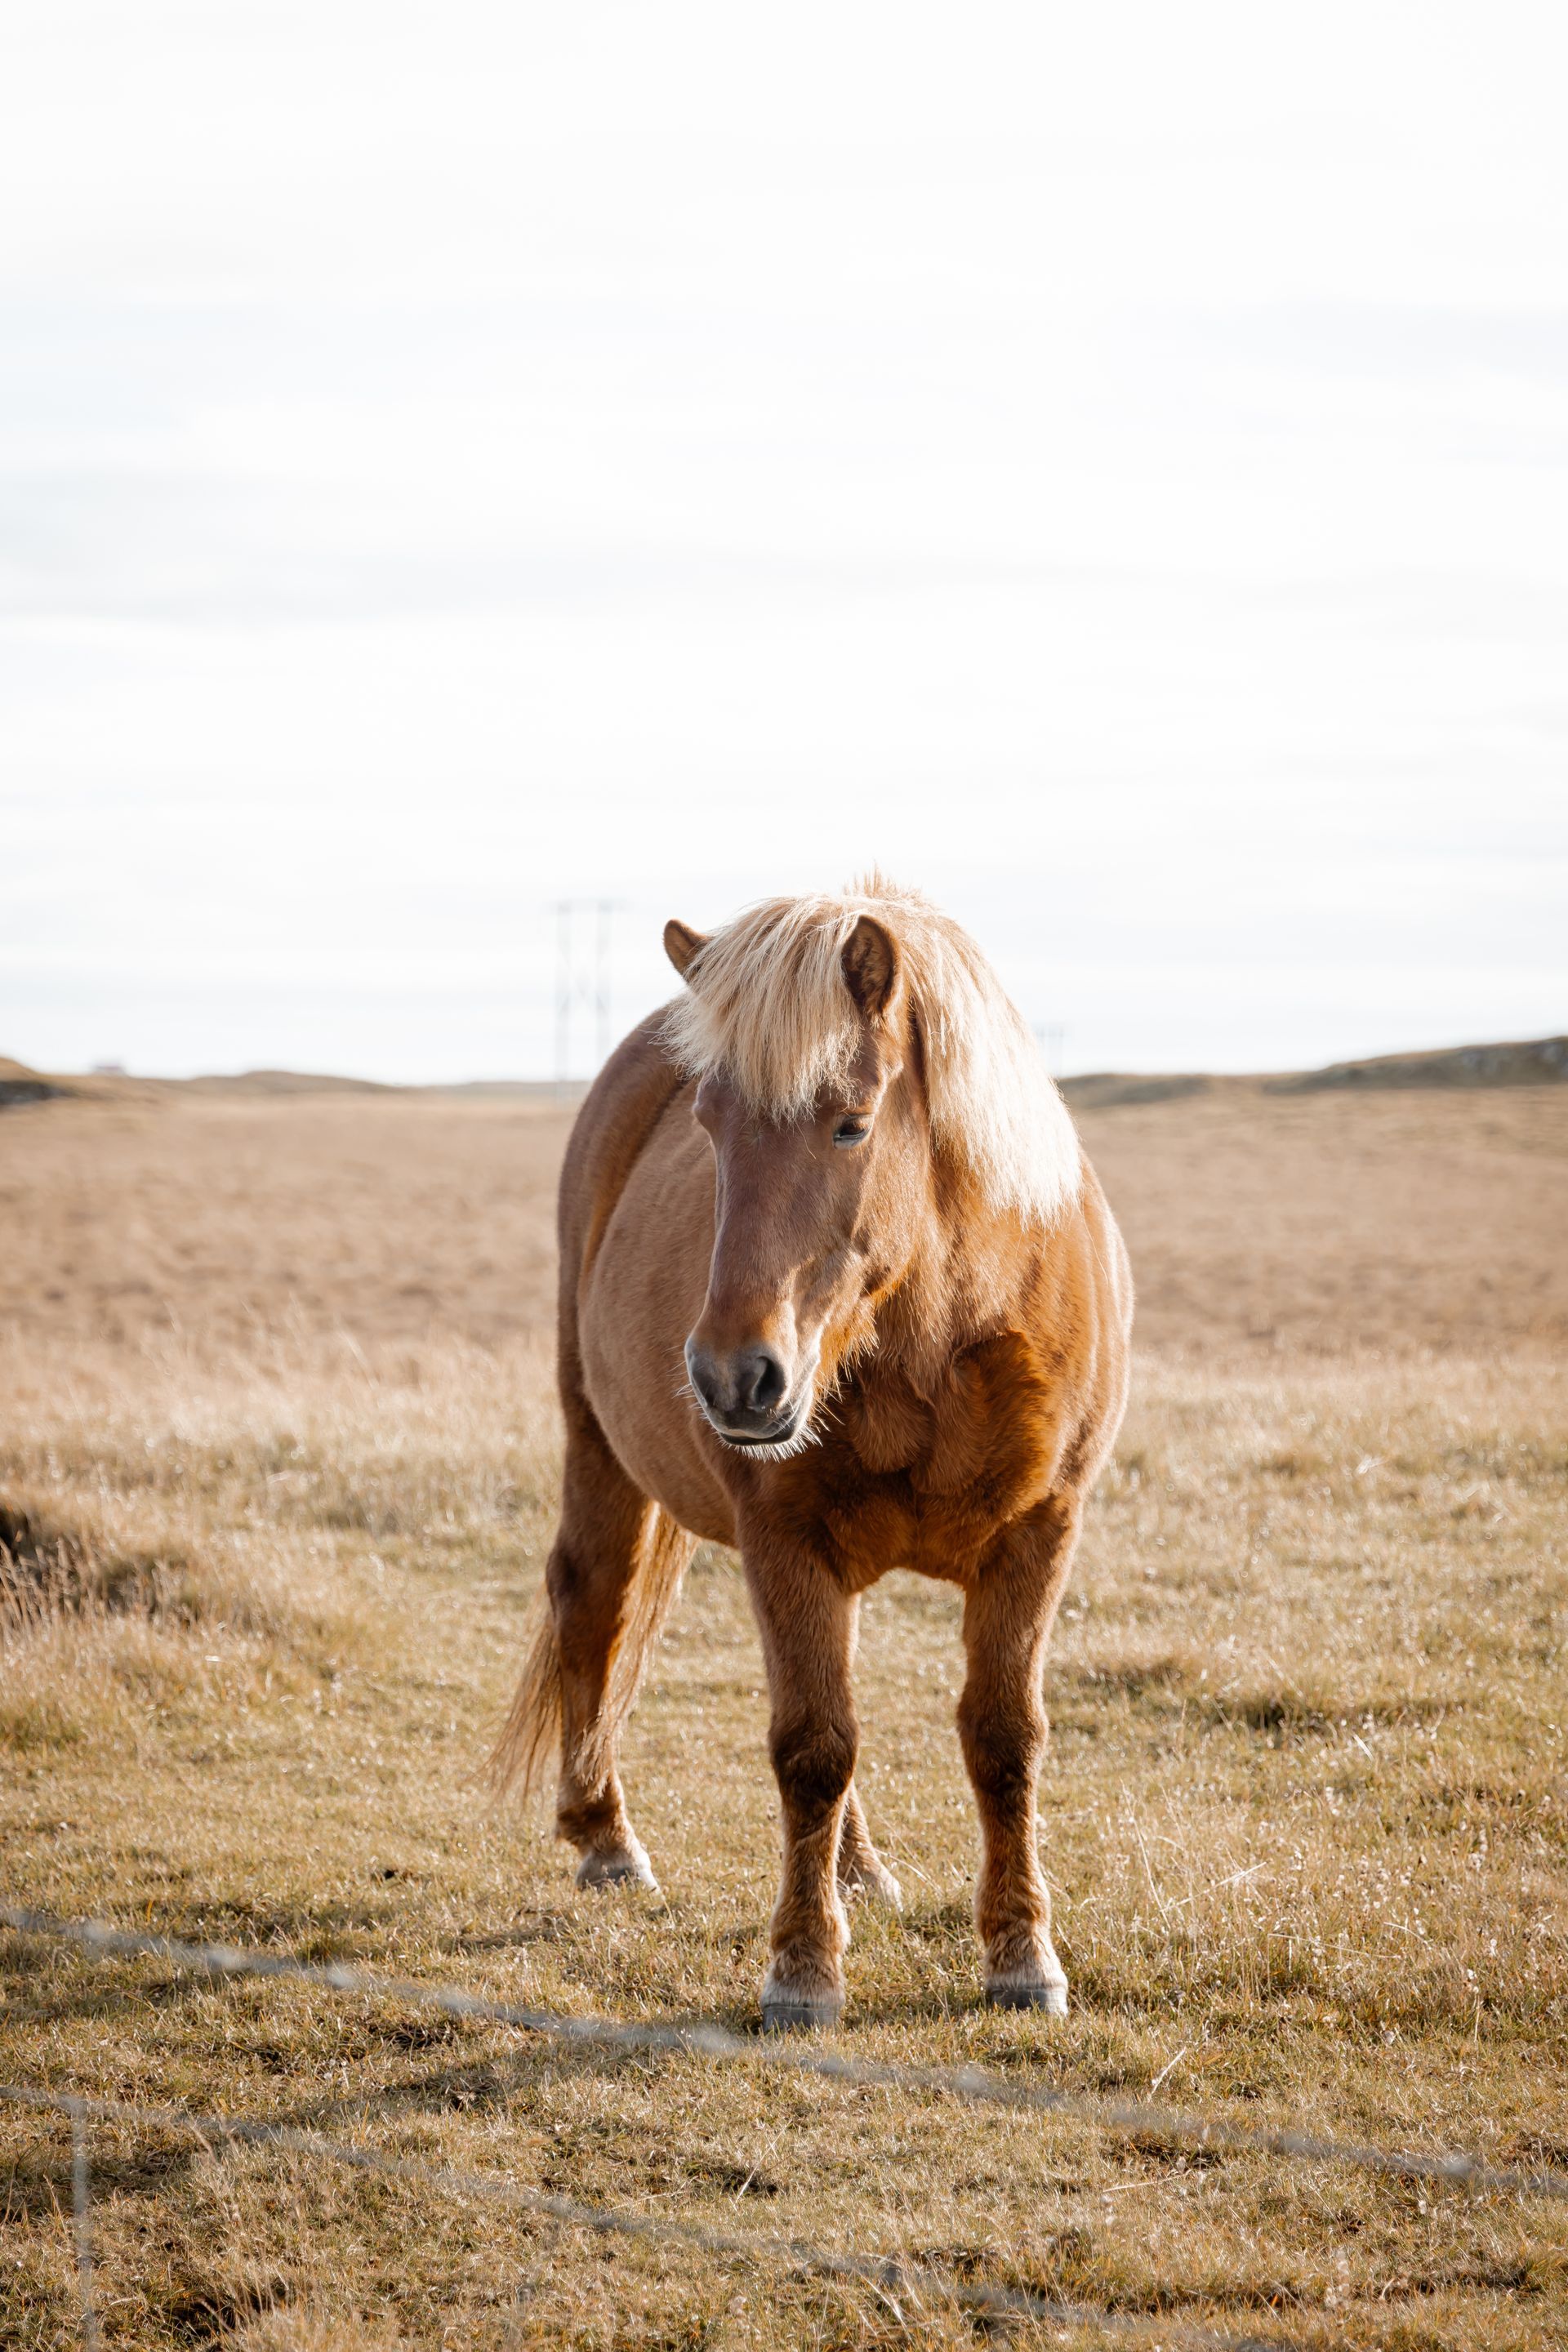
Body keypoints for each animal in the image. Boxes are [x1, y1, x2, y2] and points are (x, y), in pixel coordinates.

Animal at [492, 881, 1133, 2029]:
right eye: (708, 1124)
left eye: (851, 1123)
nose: (731, 1377)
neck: (935, 1332)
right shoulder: (785, 1539)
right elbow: (811, 1747)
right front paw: (801, 1971)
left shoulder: (1040, 1534)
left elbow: (1002, 1739)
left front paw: (1022, 1956)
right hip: (597, 1442)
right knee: (592, 1598)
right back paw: (606, 1839)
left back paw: (859, 1870)